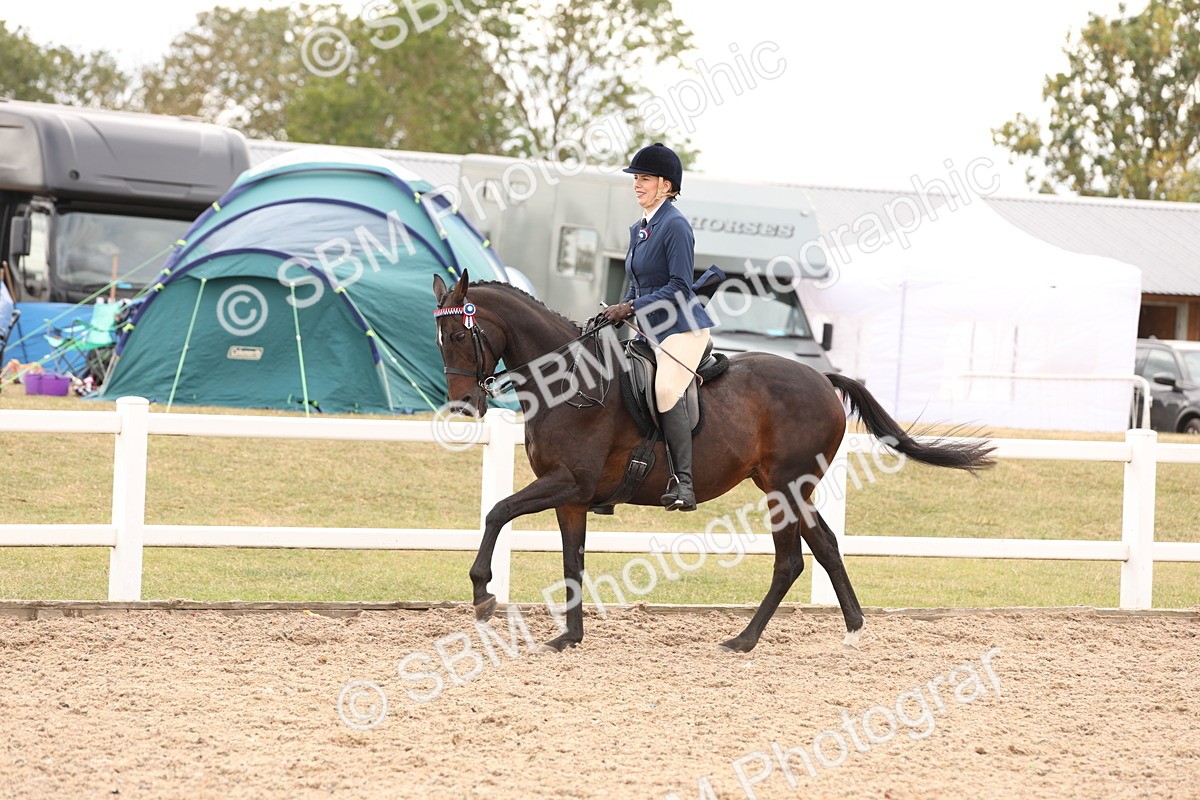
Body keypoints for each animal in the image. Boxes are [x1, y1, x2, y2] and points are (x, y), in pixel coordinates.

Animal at [431, 270, 994, 653]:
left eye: (459, 336)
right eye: (440, 339)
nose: (464, 407)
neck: (572, 384)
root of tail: (822, 378)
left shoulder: (567, 482)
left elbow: (497, 512)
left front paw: (482, 592)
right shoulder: (571, 496)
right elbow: (572, 561)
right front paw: (568, 637)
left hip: (784, 488)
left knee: (791, 561)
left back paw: (744, 639)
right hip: (787, 486)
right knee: (827, 547)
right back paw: (853, 628)